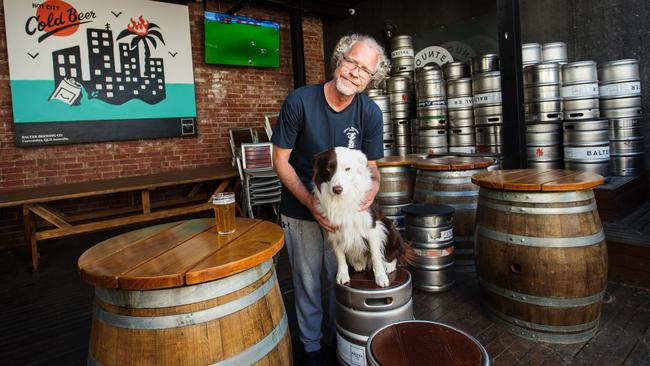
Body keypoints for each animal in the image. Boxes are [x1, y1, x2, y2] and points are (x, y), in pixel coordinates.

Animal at [310, 147, 410, 288]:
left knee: (396, 252)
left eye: (347, 169)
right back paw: (359, 264)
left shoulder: (371, 227)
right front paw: (342, 275)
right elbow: (340, 255)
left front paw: (380, 277)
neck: (342, 199)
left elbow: (375, 255)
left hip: (389, 227)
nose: (337, 189)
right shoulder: (334, 230)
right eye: (328, 168)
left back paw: (389, 265)